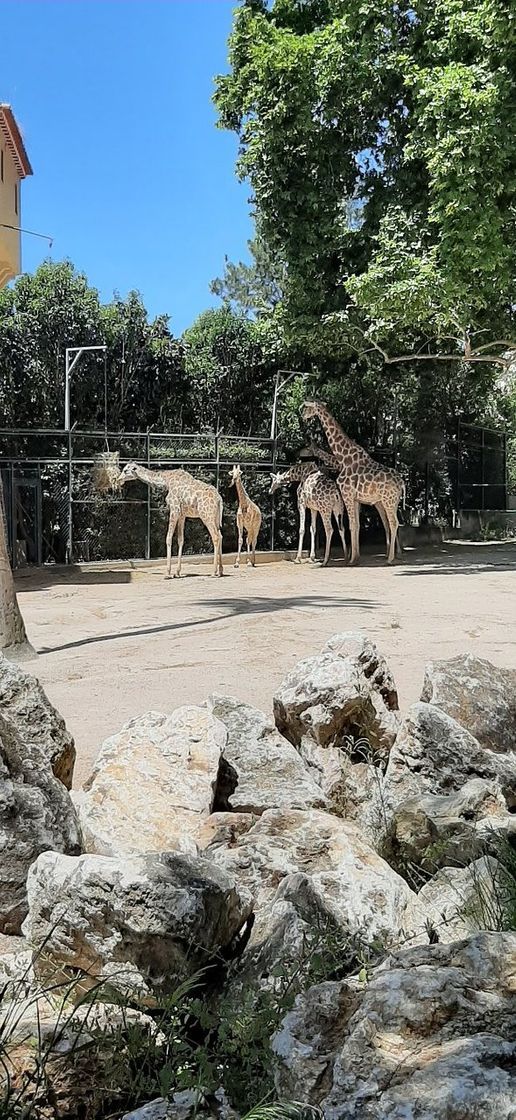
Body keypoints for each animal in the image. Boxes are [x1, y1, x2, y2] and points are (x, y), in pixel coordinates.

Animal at [299, 403, 405, 564]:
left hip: (388, 500)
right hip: (391, 502)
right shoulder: (355, 499)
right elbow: (357, 525)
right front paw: (355, 556)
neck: (342, 458)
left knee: (393, 523)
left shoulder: (347, 495)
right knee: (390, 523)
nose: (303, 415)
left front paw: (351, 559)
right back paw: (393, 553)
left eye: (308, 408)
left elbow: (352, 525)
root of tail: (402, 482)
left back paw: (391, 557)